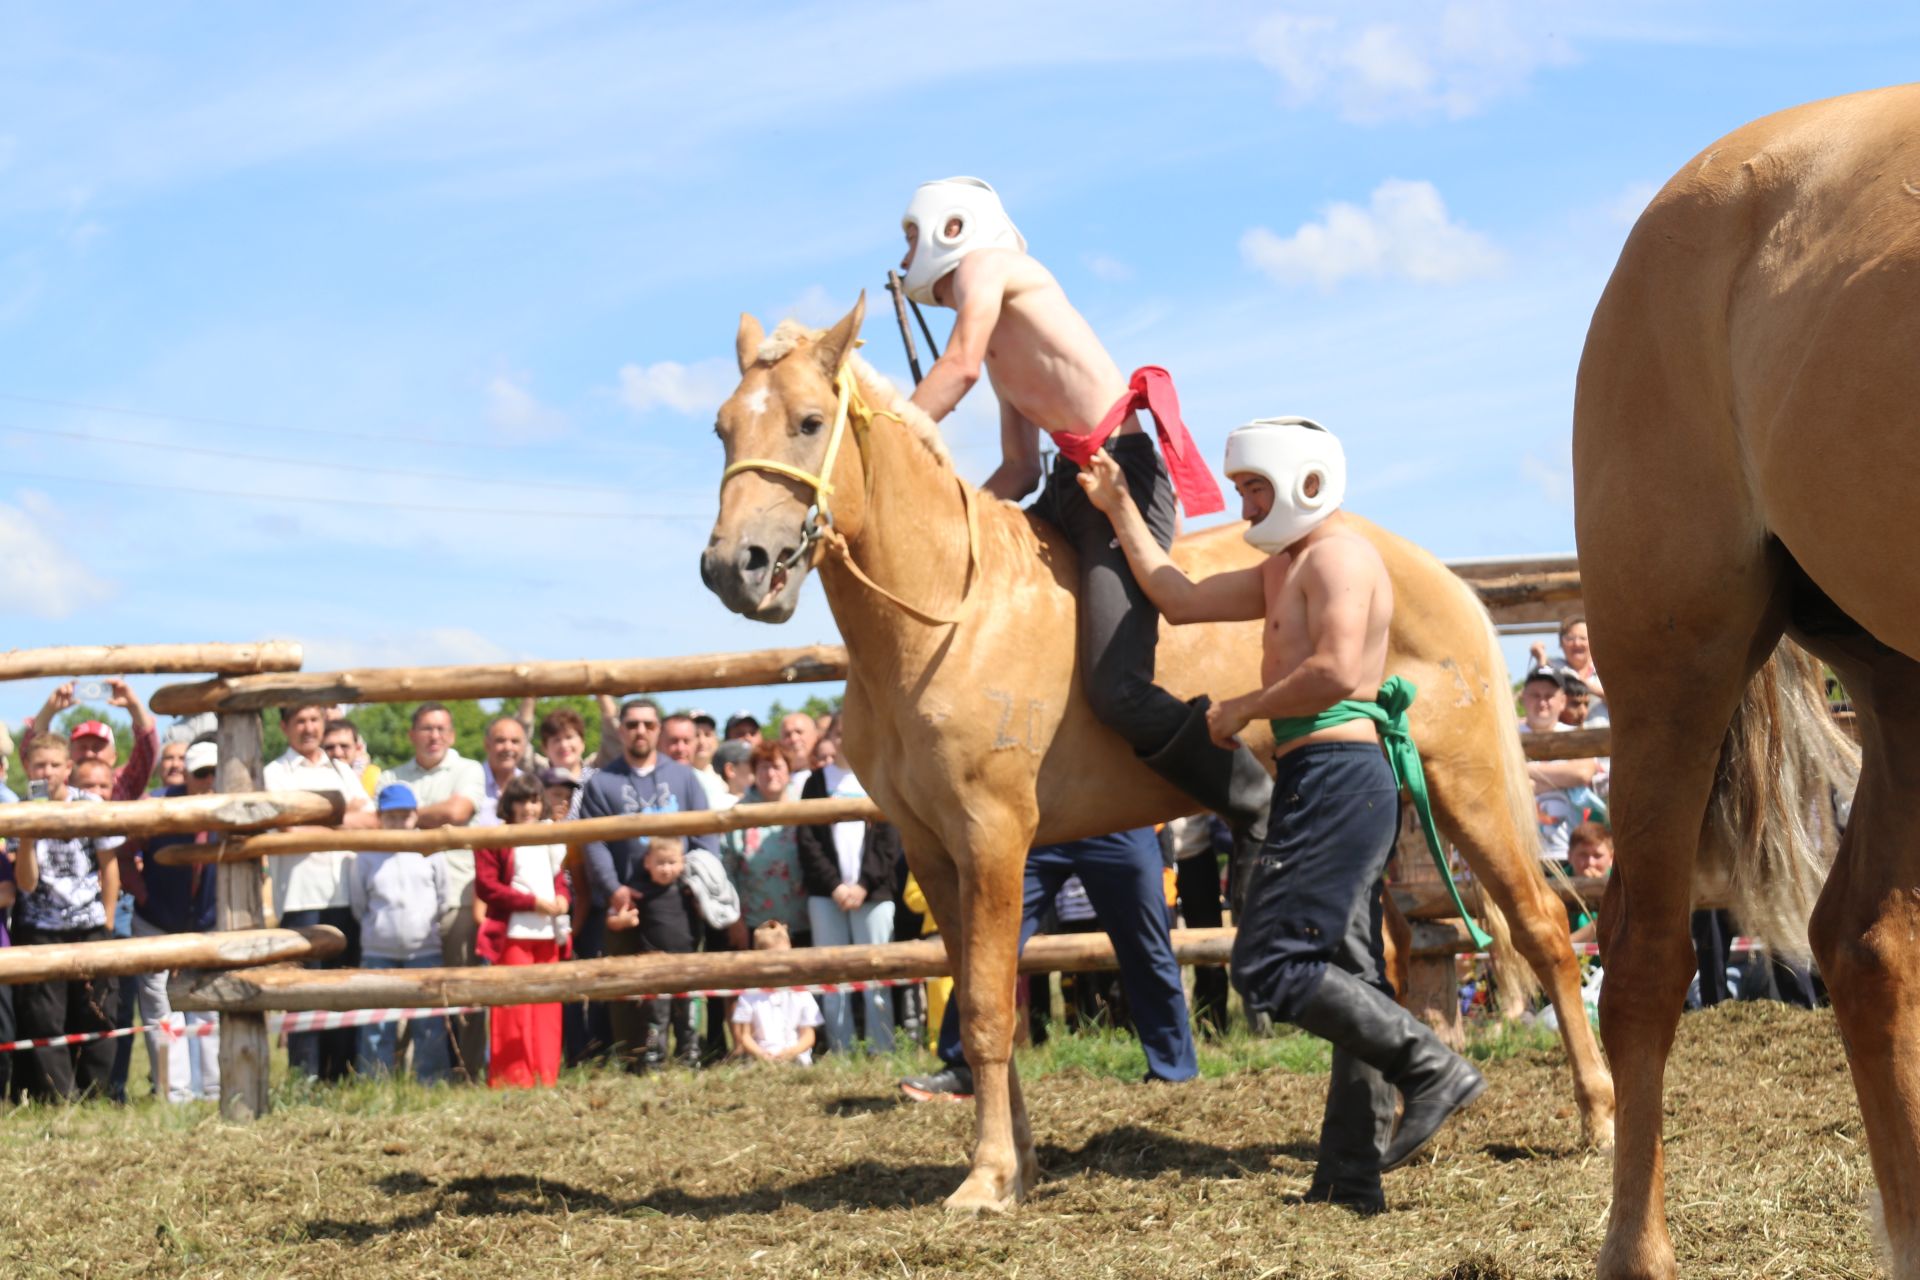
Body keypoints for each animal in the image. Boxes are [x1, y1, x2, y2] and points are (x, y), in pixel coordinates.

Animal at [698, 301, 1612, 1212]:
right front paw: (1018, 1163)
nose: (732, 567)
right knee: (1375, 964)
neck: (945, 617)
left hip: (1469, 785)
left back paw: (1597, 1118)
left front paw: (987, 1178)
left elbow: (990, 1010)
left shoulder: (992, 837)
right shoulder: (933, 848)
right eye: (722, 428)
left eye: (809, 422)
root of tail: (1432, 574)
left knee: (1544, 931)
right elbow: (982, 1005)